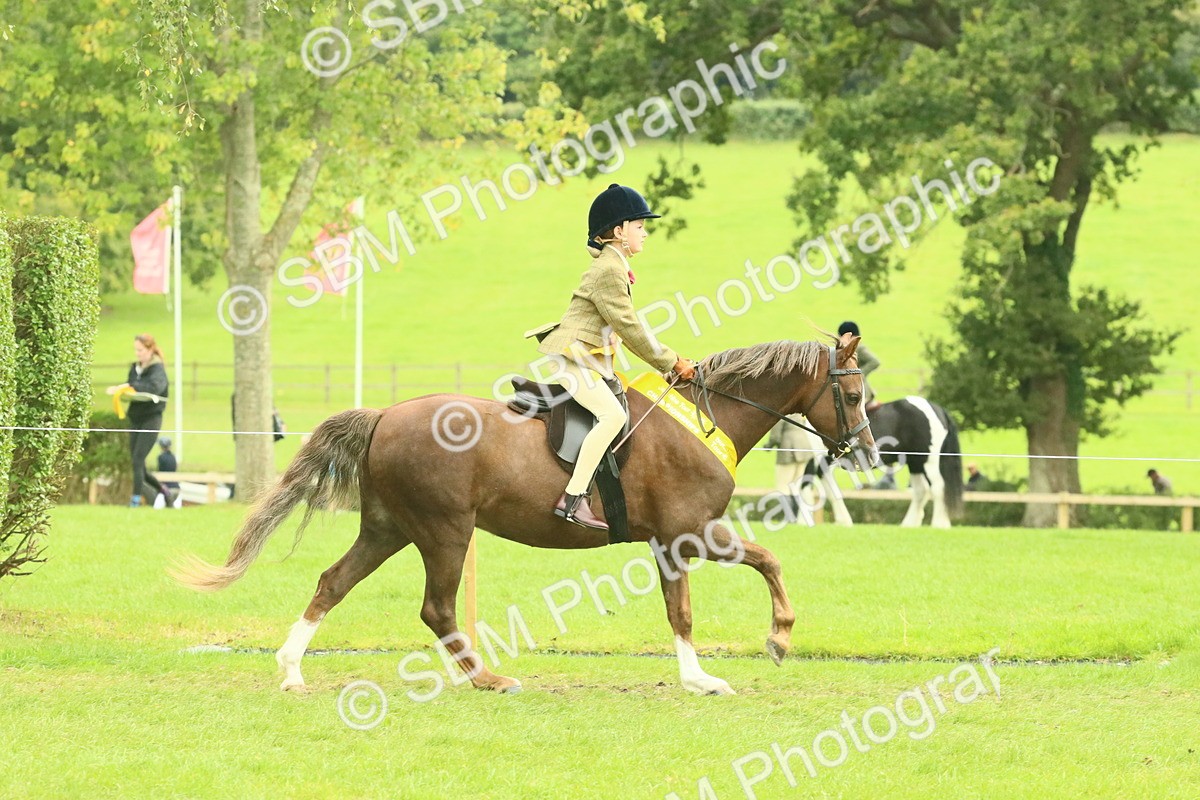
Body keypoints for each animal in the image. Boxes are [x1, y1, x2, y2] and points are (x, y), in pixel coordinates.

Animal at [173, 335, 877, 697]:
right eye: (850, 393)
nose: (868, 451)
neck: (706, 418)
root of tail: (385, 415)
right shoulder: (690, 534)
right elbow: (763, 563)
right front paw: (775, 639)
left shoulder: (670, 543)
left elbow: (683, 608)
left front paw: (698, 675)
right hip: (445, 532)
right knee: (436, 608)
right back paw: (488, 678)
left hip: (388, 529)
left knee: (332, 583)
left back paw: (292, 671)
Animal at [866, 396, 963, 528]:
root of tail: (939, 410)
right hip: (915, 463)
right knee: (920, 490)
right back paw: (910, 524)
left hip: (929, 463)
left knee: (938, 487)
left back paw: (939, 524)